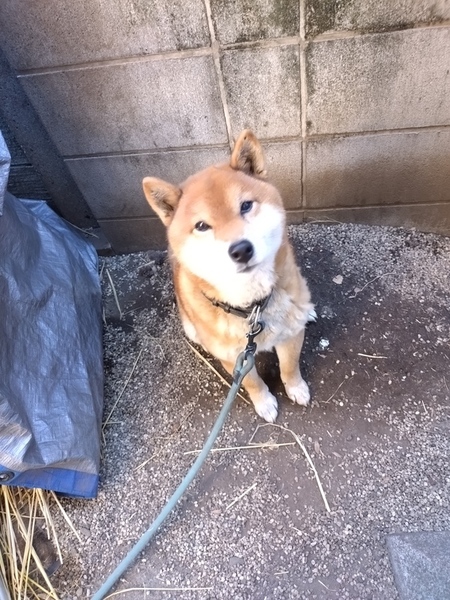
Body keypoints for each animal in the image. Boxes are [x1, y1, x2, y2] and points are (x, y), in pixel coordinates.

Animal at [143, 130, 314, 422]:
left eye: (245, 206)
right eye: (202, 225)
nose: (241, 249)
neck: (252, 308)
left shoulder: (291, 334)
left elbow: (290, 367)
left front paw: (296, 388)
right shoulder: (233, 356)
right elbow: (252, 382)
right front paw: (264, 402)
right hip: (191, 327)